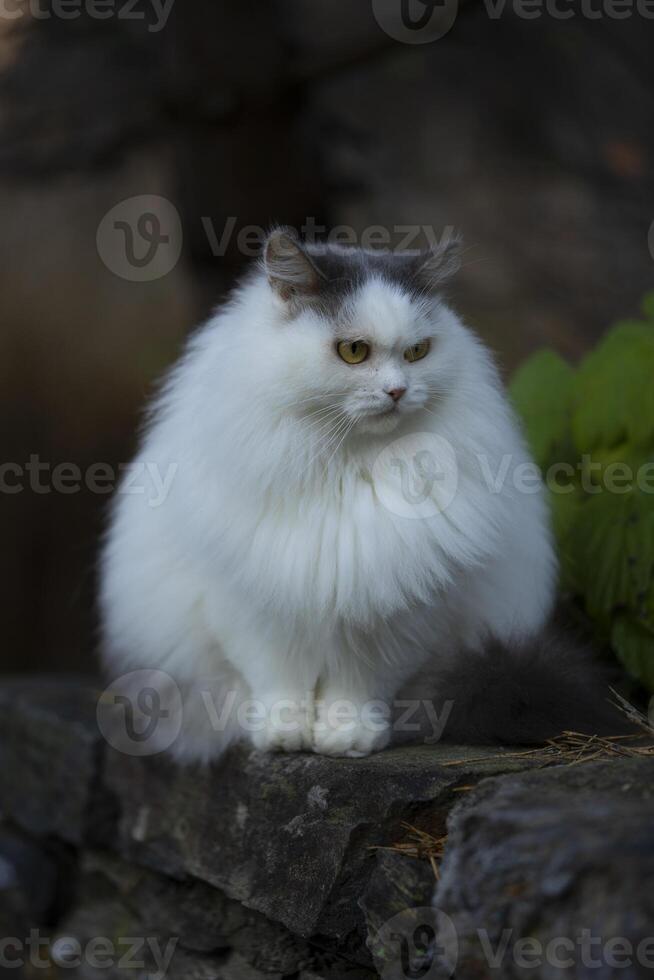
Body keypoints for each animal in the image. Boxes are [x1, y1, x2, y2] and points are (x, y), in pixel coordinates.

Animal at [101, 232, 560, 764]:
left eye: (418, 352)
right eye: (354, 351)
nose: (397, 391)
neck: (349, 470)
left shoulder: (406, 611)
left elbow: (360, 686)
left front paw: (348, 736)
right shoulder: (250, 604)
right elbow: (279, 681)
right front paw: (283, 736)